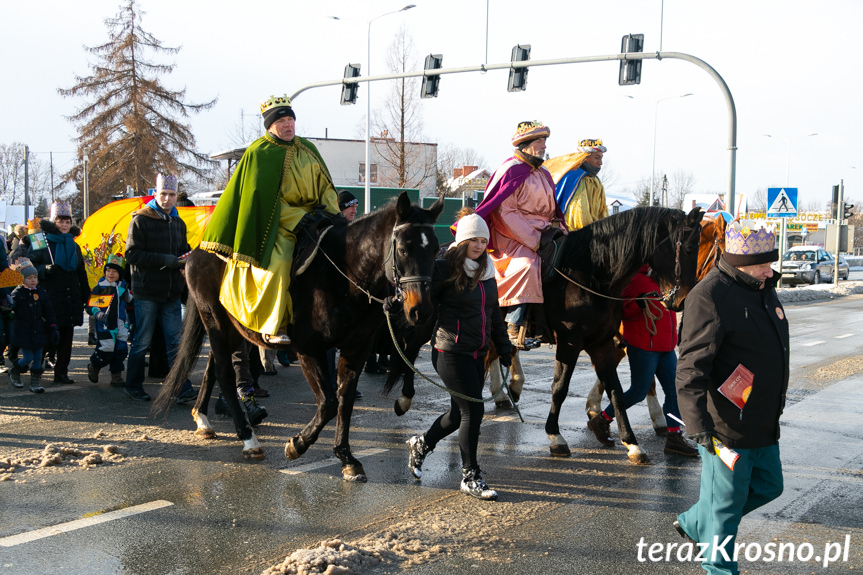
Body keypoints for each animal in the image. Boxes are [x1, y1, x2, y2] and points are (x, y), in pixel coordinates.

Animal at [151, 194, 442, 482]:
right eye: (403, 249)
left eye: (435, 249)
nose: (422, 310)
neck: (343, 275)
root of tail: (197, 250)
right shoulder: (309, 349)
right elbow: (329, 403)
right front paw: (297, 445)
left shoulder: (356, 348)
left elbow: (345, 400)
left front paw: (346, 457)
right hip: (216, 322)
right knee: (224, 373)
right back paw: (248, 439)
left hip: (229, 328)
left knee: (212, 368)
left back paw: (202, 419)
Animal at [384, 207, 704, 464]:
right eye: (688, 249)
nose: (683, 301)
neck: (594, 273)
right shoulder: (571, 342)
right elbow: (560, 388)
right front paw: (556, 437)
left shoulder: (601, 343)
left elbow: (615, 389)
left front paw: (631, 442)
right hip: (424, 316)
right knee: (410, 349)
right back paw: (405, 399)